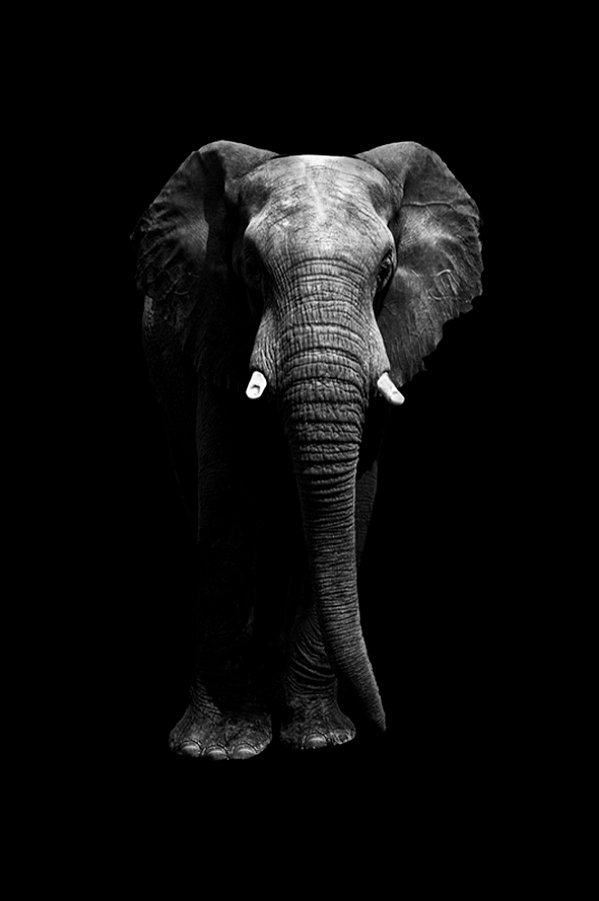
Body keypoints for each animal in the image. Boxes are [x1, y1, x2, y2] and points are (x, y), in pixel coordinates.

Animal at [132, 140, 483, 759]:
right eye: (251, 268)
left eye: (386, 269)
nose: (384, 725)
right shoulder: (217, 325)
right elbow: (229, 508)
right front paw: (216, 749)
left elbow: (355, 505)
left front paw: (320, 738)